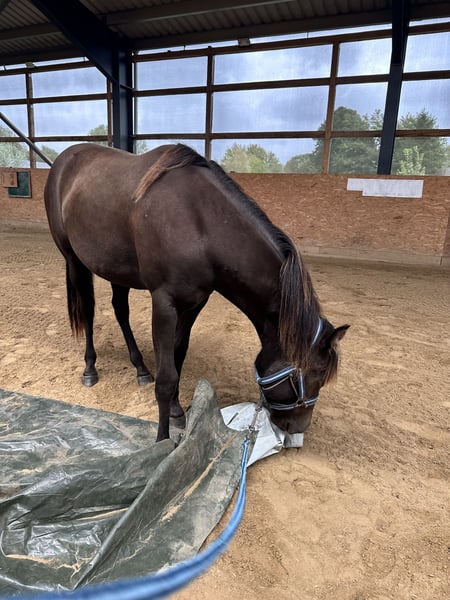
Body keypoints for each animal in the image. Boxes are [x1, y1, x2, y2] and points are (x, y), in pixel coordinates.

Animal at [44, 143, 349, 441]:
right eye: (316, 373)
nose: (298, 427)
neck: (199, 221)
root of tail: (64, 159)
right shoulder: (164, 303)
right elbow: (166, 378)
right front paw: (163, 440)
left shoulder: (194, 303)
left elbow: (177, 356)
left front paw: (177, 411)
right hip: (74, 261)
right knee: (88, 311)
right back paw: (90, 368)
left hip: (116, 269)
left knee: (120, 310)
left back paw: (140, 369)